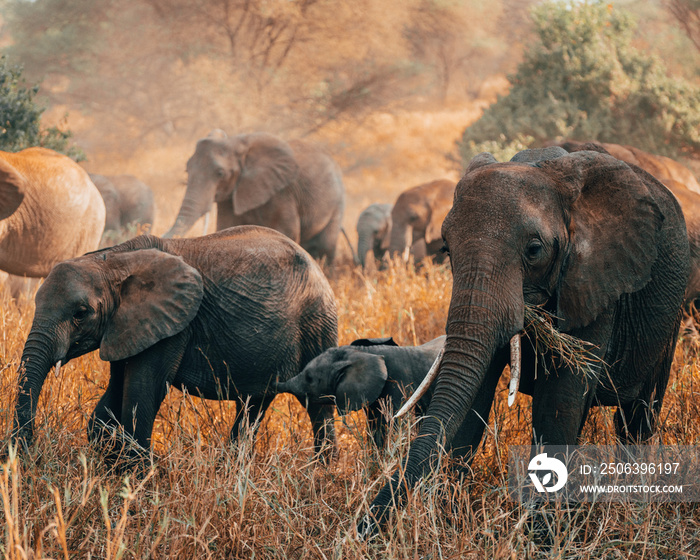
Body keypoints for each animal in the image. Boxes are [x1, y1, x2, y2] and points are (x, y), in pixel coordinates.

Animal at [11, 225, 340, 466]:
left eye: (80, 313)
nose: (21, 455)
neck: (112, 260)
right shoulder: (126, 325)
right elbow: (114, 395)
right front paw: (113, 461)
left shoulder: (173, 327)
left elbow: (142, 391)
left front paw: (137, 475)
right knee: (254, 403)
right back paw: (234, 467)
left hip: (317, 325)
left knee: (317, 402)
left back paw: (323, 470)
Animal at [162, 130, 348, 264]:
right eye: (187, 169)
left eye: (220, 173)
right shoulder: (230, 196)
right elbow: (226, 228)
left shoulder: (282, 193)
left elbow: (286, 233)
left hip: (337, 200)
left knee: (325, 246)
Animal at [278, 334, 446, 448]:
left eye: (309, 378)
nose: (275, 382)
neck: (361, 352)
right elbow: (375, 428)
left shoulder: (398, 386)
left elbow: (395, 426)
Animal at [360, 147, 688, 536]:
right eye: (446, 249)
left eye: (533, 250)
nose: (362, 529)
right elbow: (474, 396)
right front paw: (451, 522)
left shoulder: (594, 279)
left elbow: (559, 399)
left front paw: (542, 537)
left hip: (671, 312)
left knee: (637, 420)